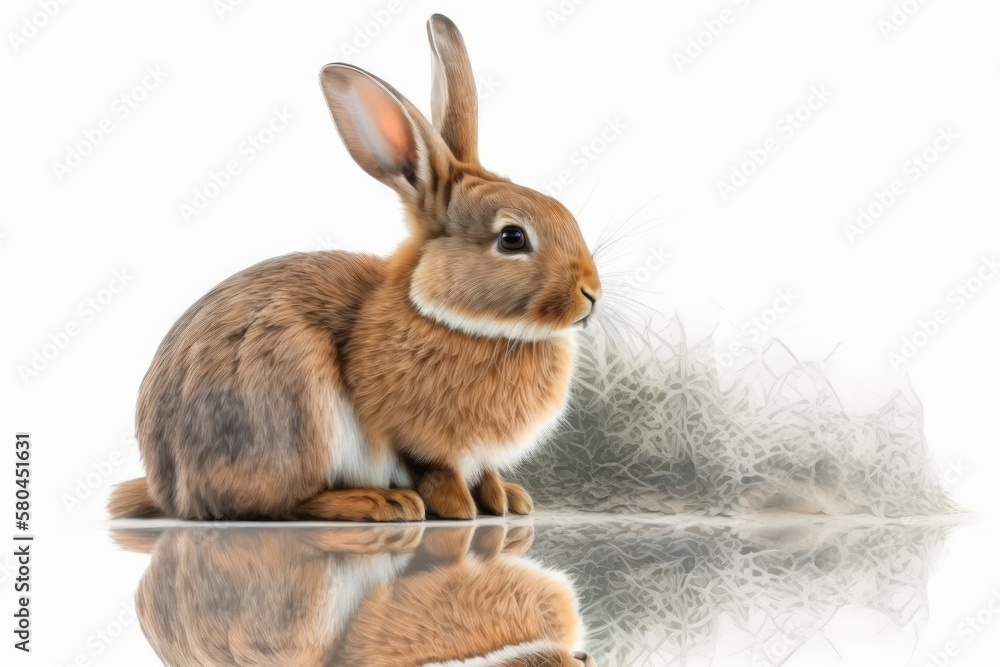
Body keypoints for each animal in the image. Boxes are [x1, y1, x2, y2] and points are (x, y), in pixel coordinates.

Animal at [107, 11, 600, 520]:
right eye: (512, 238)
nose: (590, 295)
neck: (451, 318)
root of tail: (171, 491)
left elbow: (484, 473)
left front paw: (506, 500)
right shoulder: (409, 434)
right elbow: (434, 467)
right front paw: (458, 509)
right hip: (293, 404)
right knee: (287, 503)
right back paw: (382, 502)